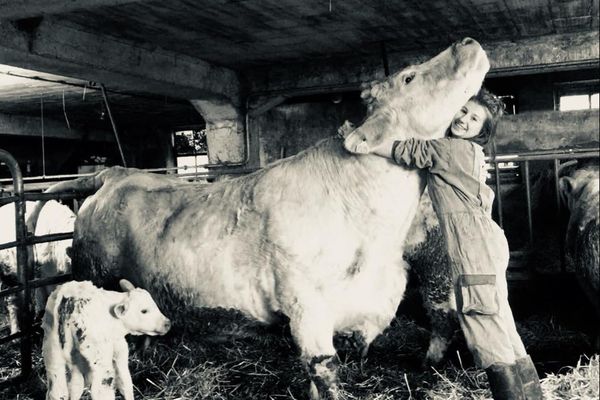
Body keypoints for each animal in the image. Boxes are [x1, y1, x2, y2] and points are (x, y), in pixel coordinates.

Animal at [41, 280, 171, 400]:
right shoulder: (119, 346)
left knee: (57, 390)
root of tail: (70, 302)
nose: (167, 323)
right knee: (100, 390)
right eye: (144, 311)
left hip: (52, 351)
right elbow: (125, 380)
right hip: (100, 358)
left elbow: (75, 386)